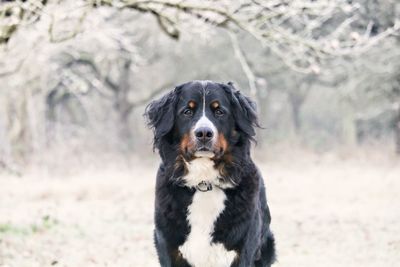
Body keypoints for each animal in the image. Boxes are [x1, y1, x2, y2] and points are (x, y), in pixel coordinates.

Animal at [145, 80, 276, 266]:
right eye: (187, 111)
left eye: (219, 111)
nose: (204, 133)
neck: (203, 181)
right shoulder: (168, 247)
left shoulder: (244, 247)